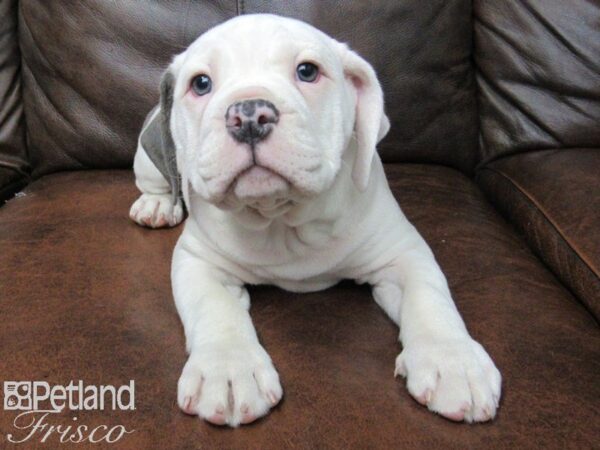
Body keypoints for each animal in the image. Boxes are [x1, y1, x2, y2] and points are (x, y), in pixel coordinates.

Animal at [130, 14, 502, 428]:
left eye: (307, 71)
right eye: (200, 84)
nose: (249, 115)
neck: (282, 219)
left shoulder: (403, 253)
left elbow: (430, 297)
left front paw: (454, 362)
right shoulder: (198, 261)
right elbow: (215, 308)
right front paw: (228, 370)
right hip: (149, 157)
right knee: (156, 177)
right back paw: (157, 205)